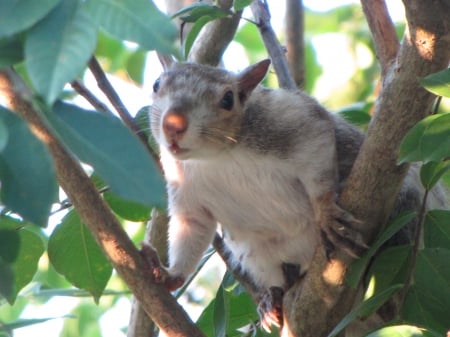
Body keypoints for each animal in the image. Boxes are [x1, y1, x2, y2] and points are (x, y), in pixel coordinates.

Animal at [147, 59, 442, 330]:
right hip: (258, 254)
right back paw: (272, 300)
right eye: (156, 84)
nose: (173, 124)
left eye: (228, 98)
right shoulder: (184, 190)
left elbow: (317, 163)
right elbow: (191, 228)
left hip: (406, 213)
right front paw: (171, 275)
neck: (215, 157)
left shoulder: (296, 122)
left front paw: (326, 214)